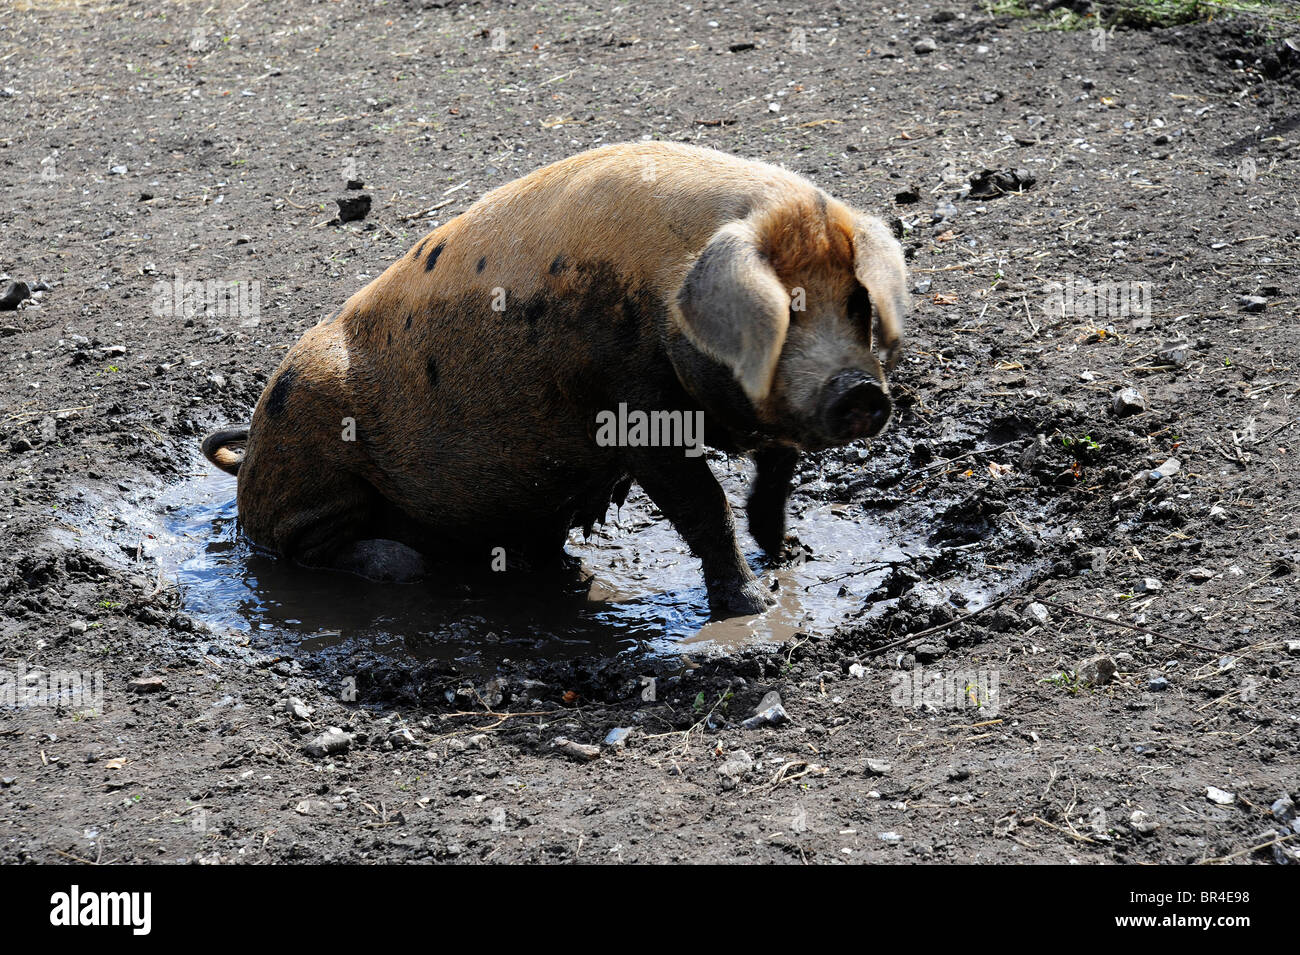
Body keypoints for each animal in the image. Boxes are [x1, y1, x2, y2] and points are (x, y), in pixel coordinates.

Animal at [205, 141, 915, 621]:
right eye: (784, 309)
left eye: (857, 303)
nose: (860, 391)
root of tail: (249, 457)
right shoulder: (628, 408)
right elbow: (702, 502)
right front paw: (752, 609)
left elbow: (775, 473)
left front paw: (792, 554)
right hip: (310, 454)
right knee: (297, 546)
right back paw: (401, 565)